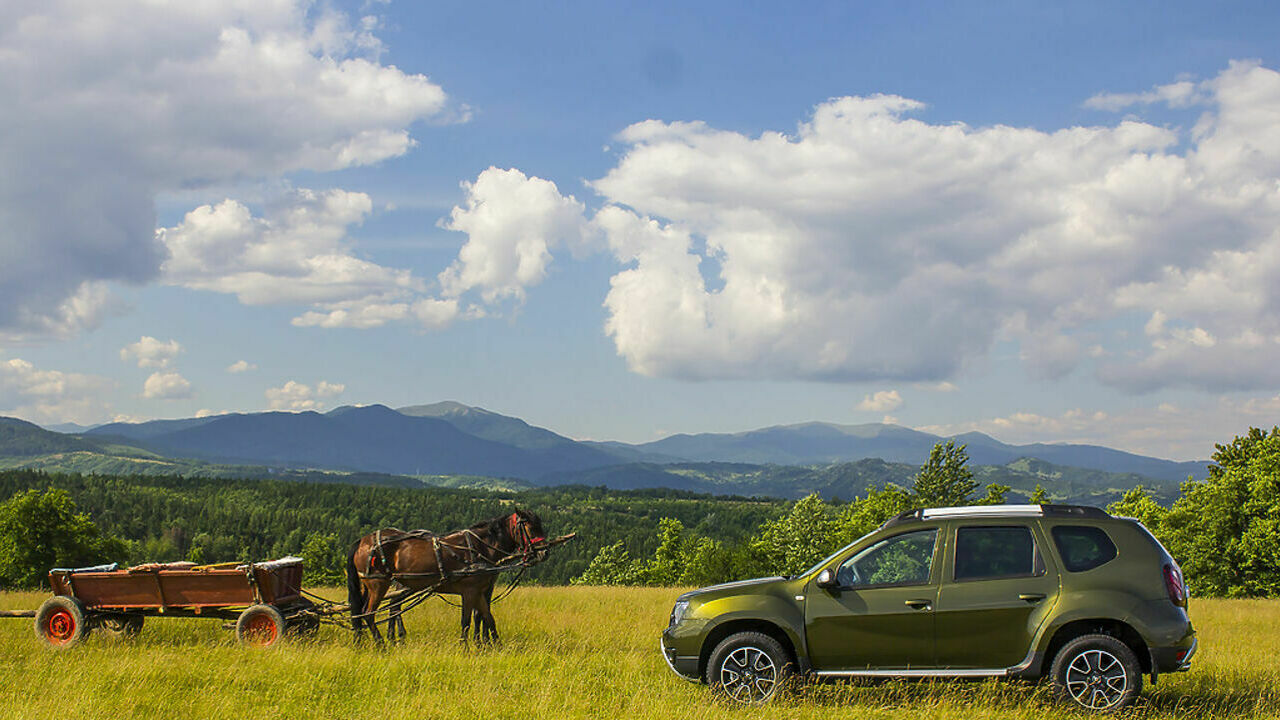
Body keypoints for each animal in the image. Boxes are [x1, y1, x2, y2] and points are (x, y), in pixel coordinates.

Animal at [345, 507, 545, 640]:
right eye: (530, 528)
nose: (544, 552)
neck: (480, 547)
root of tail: (362, 541)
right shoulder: (470, 591)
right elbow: (467, 621)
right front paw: (468, 648)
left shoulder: (481, 591)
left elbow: (487, 617)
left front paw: (493, 645)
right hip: (379, 584)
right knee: (369, 613)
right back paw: (382, 643)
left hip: (373, 585)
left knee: (366, 611)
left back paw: (367, 640)